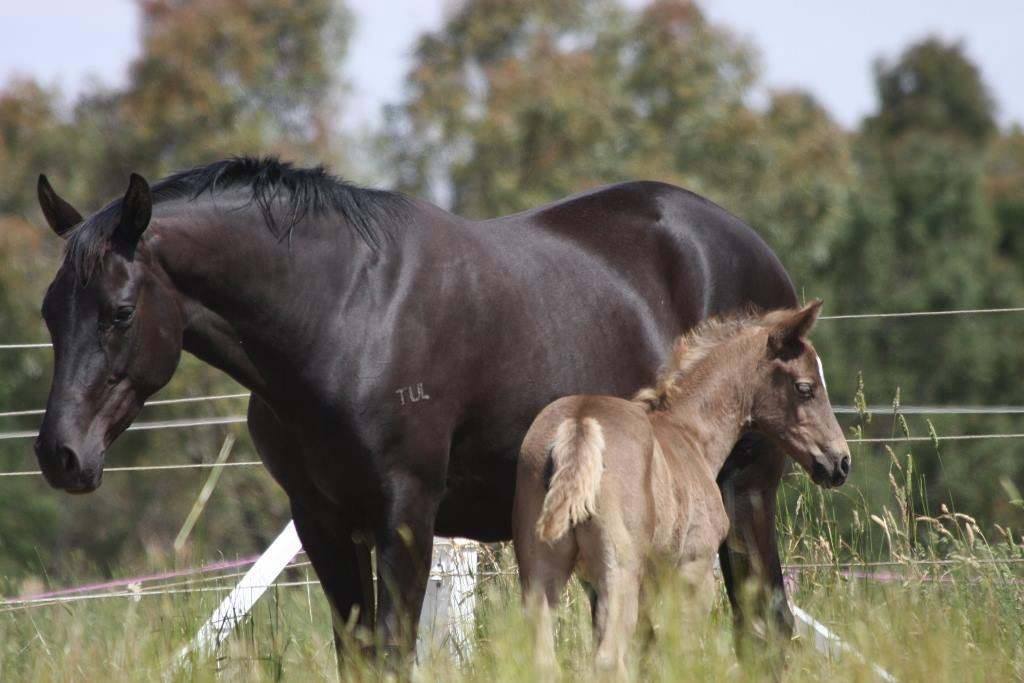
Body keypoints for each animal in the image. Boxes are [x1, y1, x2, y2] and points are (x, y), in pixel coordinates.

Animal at [32, 157, 798, 659]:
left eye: (120, 310)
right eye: (48, 310)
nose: (59, 453)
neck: (345, 314)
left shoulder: (404, 517)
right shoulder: (323, 524)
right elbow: (359, 654)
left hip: (744, 495)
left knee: (767, 629)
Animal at [516, 303, 851, 671]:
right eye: (806, 388)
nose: (840, 462)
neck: (690, 434)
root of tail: (580, 422)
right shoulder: (694, 570)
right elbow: (684, 651)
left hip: (539, 573)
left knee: (544, 659)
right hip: (619, 571)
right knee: (608, 658)